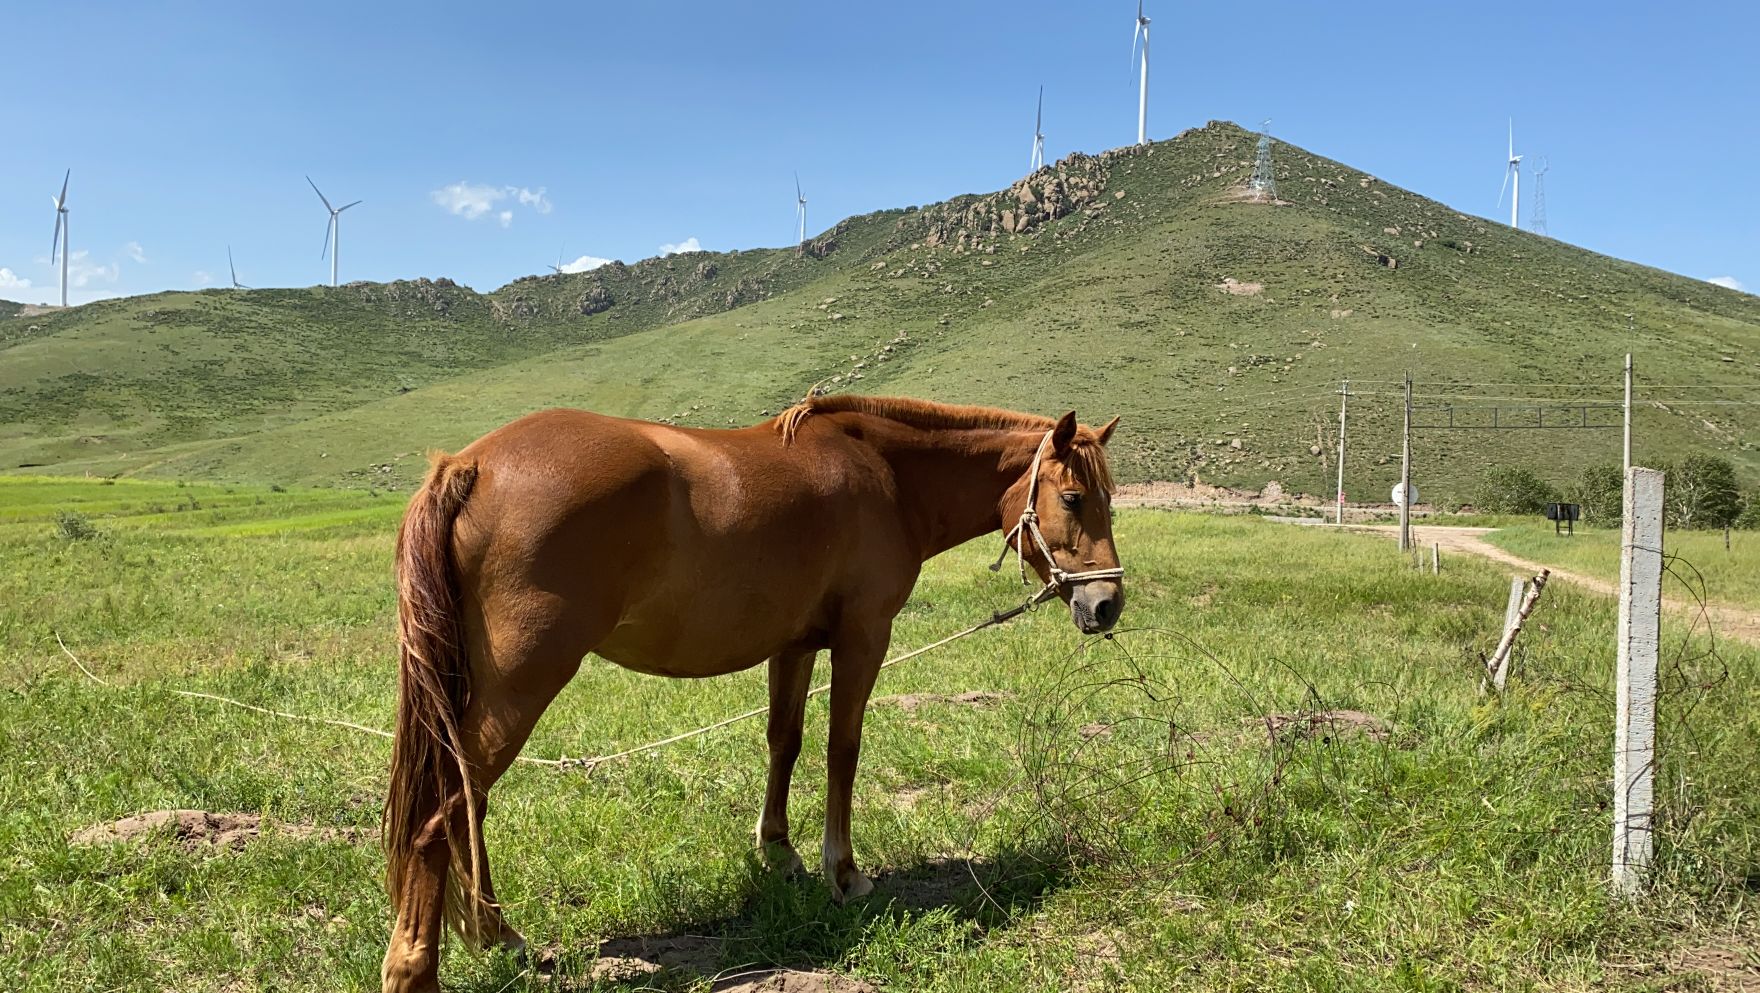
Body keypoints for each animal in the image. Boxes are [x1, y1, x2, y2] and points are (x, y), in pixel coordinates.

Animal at [383, 396, 1126, 993]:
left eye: (1108, 498)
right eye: (1073, 498)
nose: (1107, 603)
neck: (884, 476)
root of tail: (471, 465)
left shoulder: (794, 646)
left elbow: (785, 743)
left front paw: (779, 852)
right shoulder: (863, 638)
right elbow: (842, 749)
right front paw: (843, 873)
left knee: (467, 805)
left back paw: (496, 935)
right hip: (523, 682)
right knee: (441, 813)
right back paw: (417, 966)